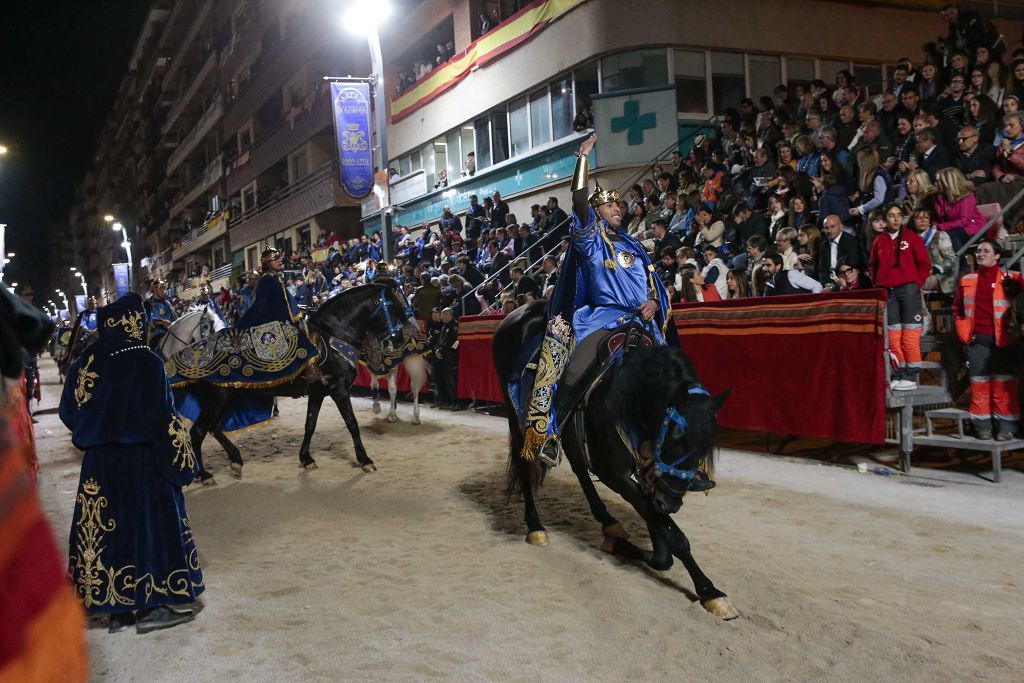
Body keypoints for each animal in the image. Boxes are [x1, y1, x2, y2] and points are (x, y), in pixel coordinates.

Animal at [184, 280, 411, 483]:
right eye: (394, 307)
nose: (399, 340)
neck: (334, 336)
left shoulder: (318, 393)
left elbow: (310, 424)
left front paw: (306, 458)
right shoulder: (339, 390)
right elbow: (352, 424)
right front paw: (365, 460)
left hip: (229, 398)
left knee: (215, 428)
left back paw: (235, 460)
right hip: (217, 399)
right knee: (198, 431)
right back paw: (204, 475)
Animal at [493, 301, 741, 622]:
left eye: (705, 447)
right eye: (674, 434)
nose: (671, 501)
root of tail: (519, 311)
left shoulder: (644, 476)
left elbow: (661, 539)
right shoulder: (617, 474)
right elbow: (672, 539)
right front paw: (710, 592)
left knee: (578, 464)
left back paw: (608, 522)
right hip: (517, 417)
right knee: (526, 466)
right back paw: (536, 527)